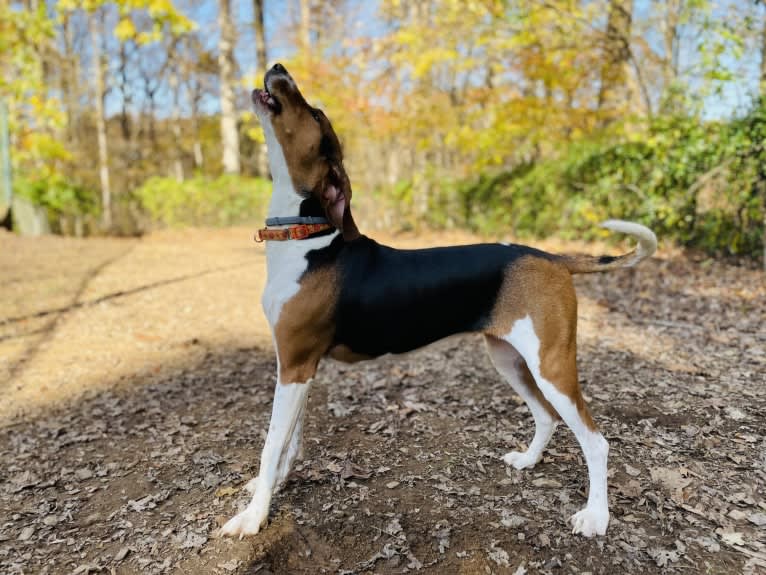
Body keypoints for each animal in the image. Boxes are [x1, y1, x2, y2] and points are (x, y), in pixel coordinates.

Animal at [219, 63, 656, 540]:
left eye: (315, 114)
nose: (279, 68)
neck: (305, 238)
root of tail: (550, 257)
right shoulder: (297, 368)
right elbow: (287, 443)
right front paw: (274, 486)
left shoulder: (296, 366)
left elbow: (270, 445)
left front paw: (253, 516)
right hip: (509, 359)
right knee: (546, 416)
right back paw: (528, 460)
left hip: (552, 366)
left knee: (596, 442)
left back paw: (596, 515)